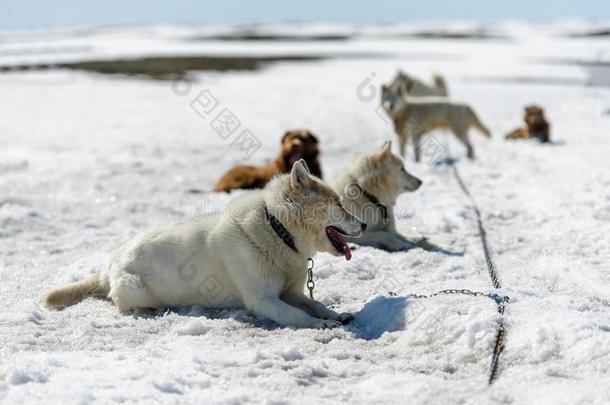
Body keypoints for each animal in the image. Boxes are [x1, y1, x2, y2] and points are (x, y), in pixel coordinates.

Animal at [45, 159, 366, 326]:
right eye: (338, 203)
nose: (363, 224)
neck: (278, 230)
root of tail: (110, 263)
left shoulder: (290, 293)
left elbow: (317, 304)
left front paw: (336, 315)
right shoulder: (264, 301)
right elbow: (298, 316)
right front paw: (322, 325)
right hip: (135, 291)